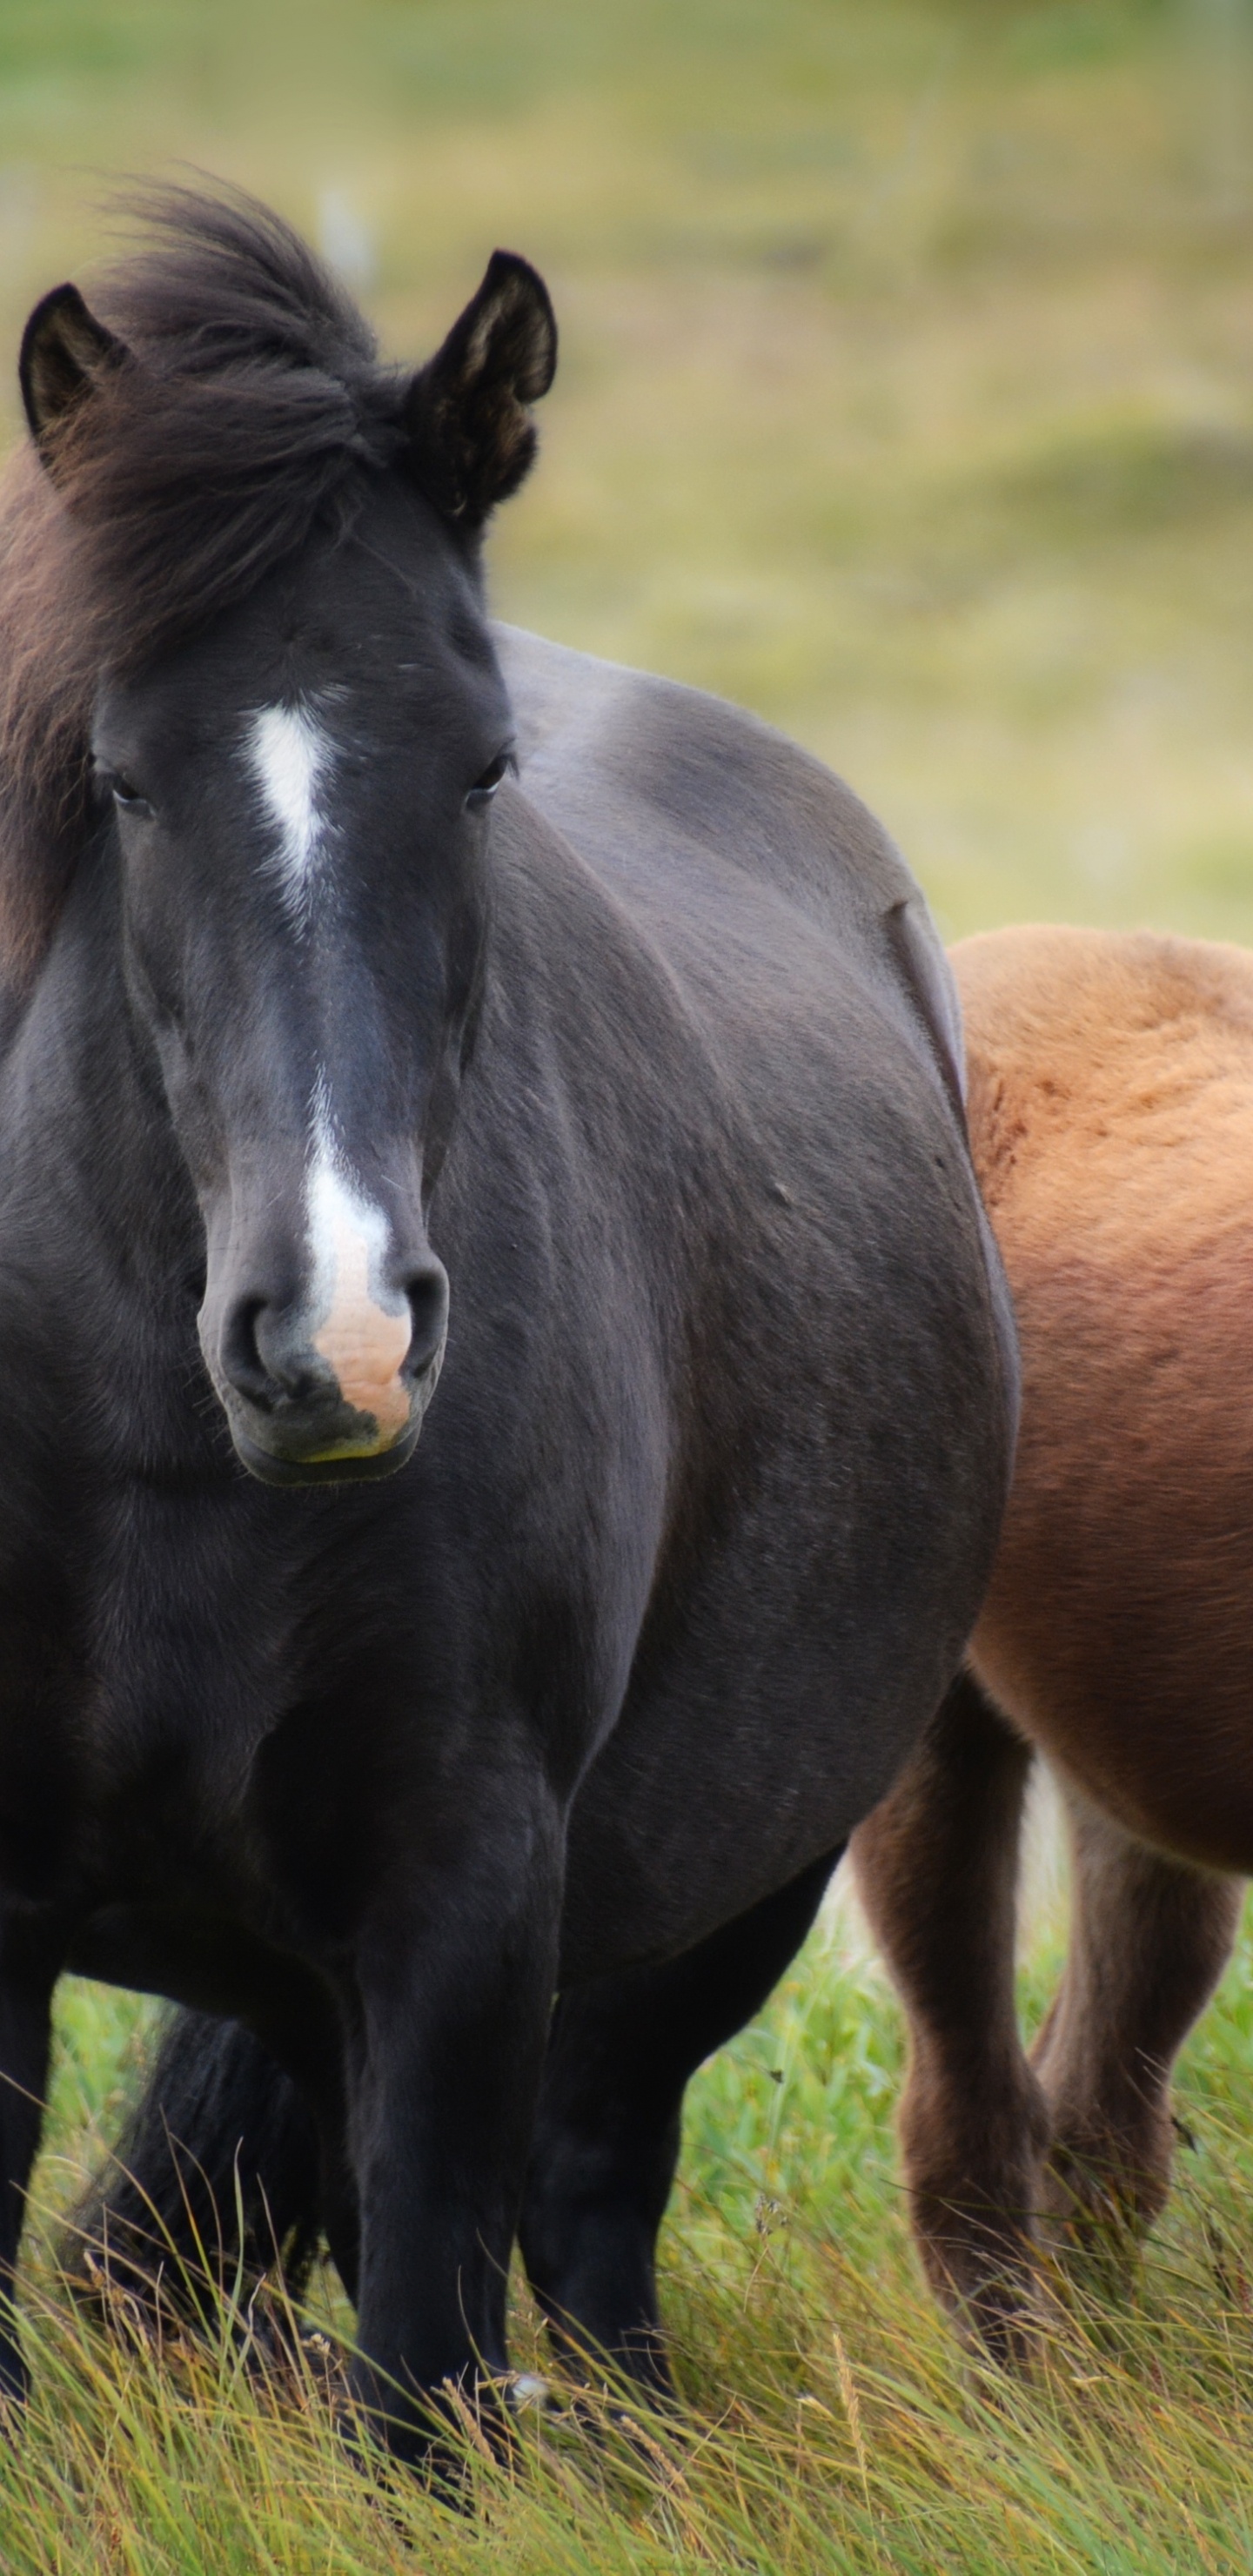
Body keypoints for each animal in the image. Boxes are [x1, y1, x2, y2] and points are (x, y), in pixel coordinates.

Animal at [0, 182, 1014, 2457]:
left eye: (478, 774)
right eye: (120, 778)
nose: (341, 1339)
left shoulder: (465, 1904)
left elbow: (418, 2381)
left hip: (719, 1900)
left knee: (587, 2211)